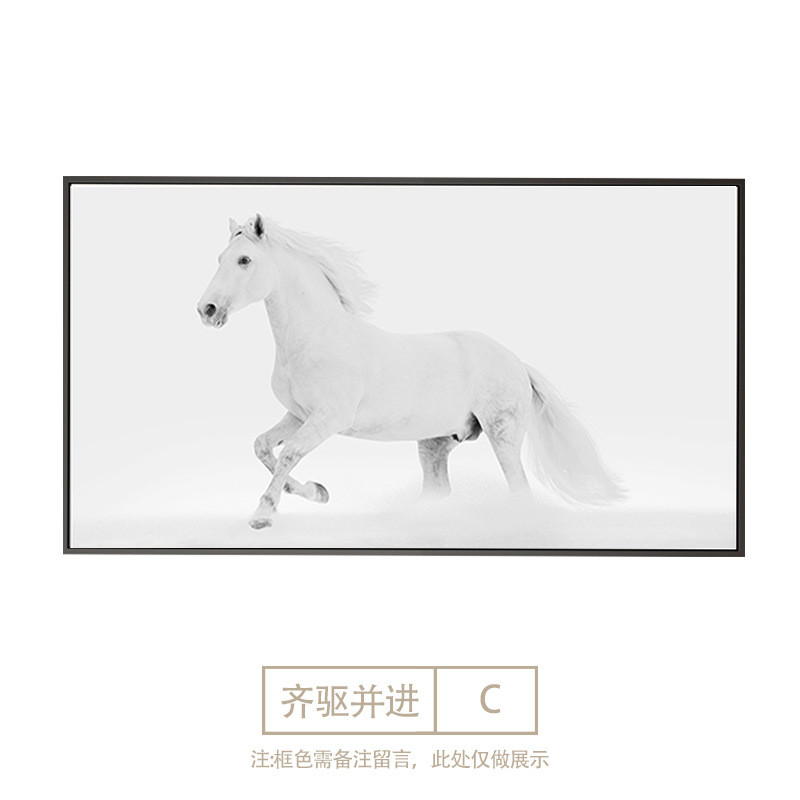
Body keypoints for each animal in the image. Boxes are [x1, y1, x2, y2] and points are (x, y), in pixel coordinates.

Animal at [197, 214, 625, 529]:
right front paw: (317, 492)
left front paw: (263, 514)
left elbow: (289, 454)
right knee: (438, 491)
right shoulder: (297, 415)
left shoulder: (328, 419)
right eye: (219, 259)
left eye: (244, 260)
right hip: (436, 443)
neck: (316, 339)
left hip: (502, 435)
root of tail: (517, 362)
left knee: (519, 488)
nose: (207, 310)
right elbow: (263, 447)